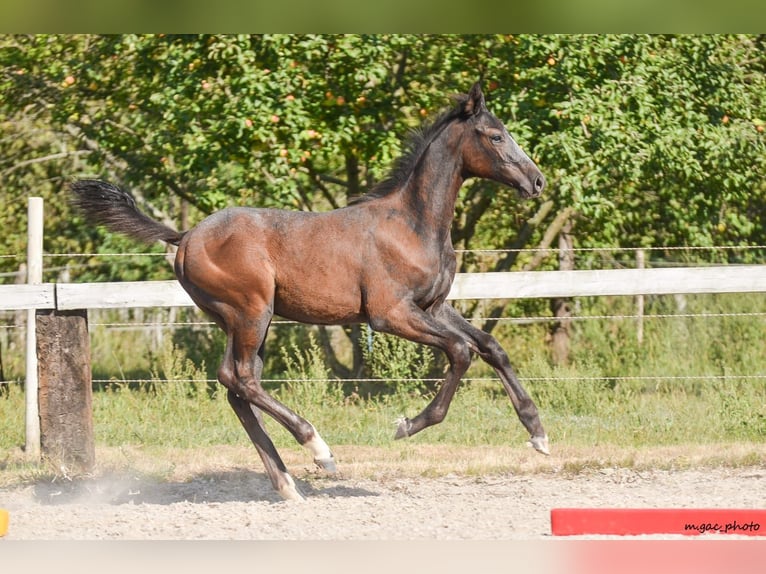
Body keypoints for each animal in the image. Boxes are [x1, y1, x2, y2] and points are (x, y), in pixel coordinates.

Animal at [71, 82, 549, 501]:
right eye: (495, 135)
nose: (537, 181)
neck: (411, 224)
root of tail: (184, 237)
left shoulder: (433, 306)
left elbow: (490, 346)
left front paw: (538, 433)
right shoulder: (390, 314)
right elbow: (461, 352)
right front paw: (407, 425)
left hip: (242, 320)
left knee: (235, 385)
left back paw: (287, 484)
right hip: (251, 312)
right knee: (240, 378)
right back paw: (318, 449)